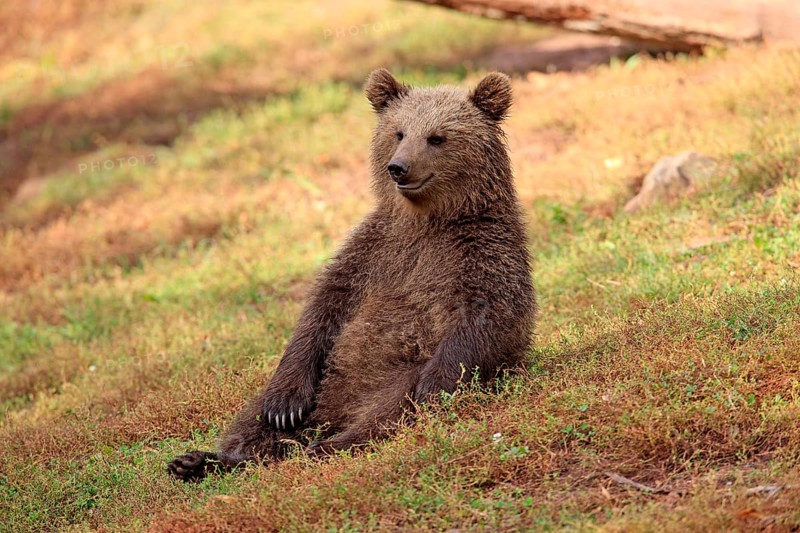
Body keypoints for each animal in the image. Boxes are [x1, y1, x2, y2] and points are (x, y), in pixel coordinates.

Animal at [168, 69, 536, 481]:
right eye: (398, 132)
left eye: (437, 136)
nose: (398, 167)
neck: (430, 219)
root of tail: (334, 415)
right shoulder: (375, 252)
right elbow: (325, 306)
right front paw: (283, 405)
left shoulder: (481, 252)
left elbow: (485, 314)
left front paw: (435, 386)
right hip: (326, 384)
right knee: (257, 421)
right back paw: (206, 460)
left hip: (390, 378)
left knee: (389, 410)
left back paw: (329, 445)